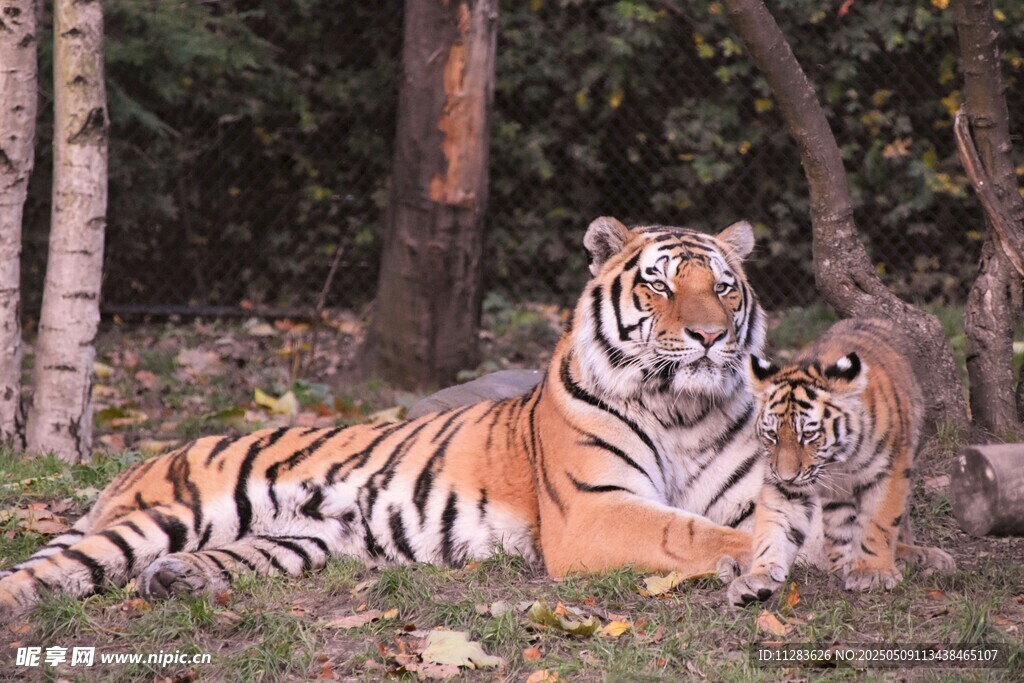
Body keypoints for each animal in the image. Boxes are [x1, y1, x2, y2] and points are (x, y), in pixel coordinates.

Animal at [0, 216, 787, 620]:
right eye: (660, 285)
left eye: (724, 287)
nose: (711, 335)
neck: (682, 408)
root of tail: (142, 460)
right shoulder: (595, 510)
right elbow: (691, 529)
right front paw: (762, 563)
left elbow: (749, 521)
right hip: (170, 514)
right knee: (52, 571)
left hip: (297, 542)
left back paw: (176, 582)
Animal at [727, 318, 956, 607]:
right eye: (772, 435)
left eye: (808, 435)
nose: (787, 475)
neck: (837, 461)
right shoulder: (785, 486)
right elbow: (774, 529)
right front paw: (758, 577)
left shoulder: (888, 472)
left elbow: (878, 523)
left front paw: (873, 572)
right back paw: (842, 563)